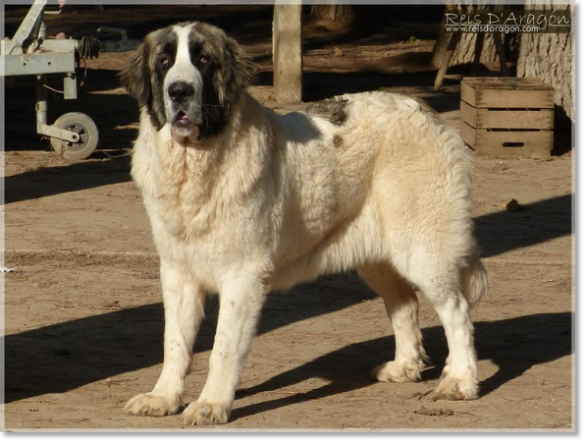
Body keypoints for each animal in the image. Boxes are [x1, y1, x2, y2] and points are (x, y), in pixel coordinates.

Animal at [120, 21, 488, 426]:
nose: (179, 91)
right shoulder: (178, 272)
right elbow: (175, 342)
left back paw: (460, 381)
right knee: (405, 302)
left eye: (203, 60)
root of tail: (424, 109)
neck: (196, 164)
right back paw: (404, 368)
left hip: (422, 248)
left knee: (457, 310)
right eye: (164, 61)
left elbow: (223, 347)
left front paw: (212, 403)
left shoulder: (242, 276)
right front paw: (163, 396)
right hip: (378, 256)